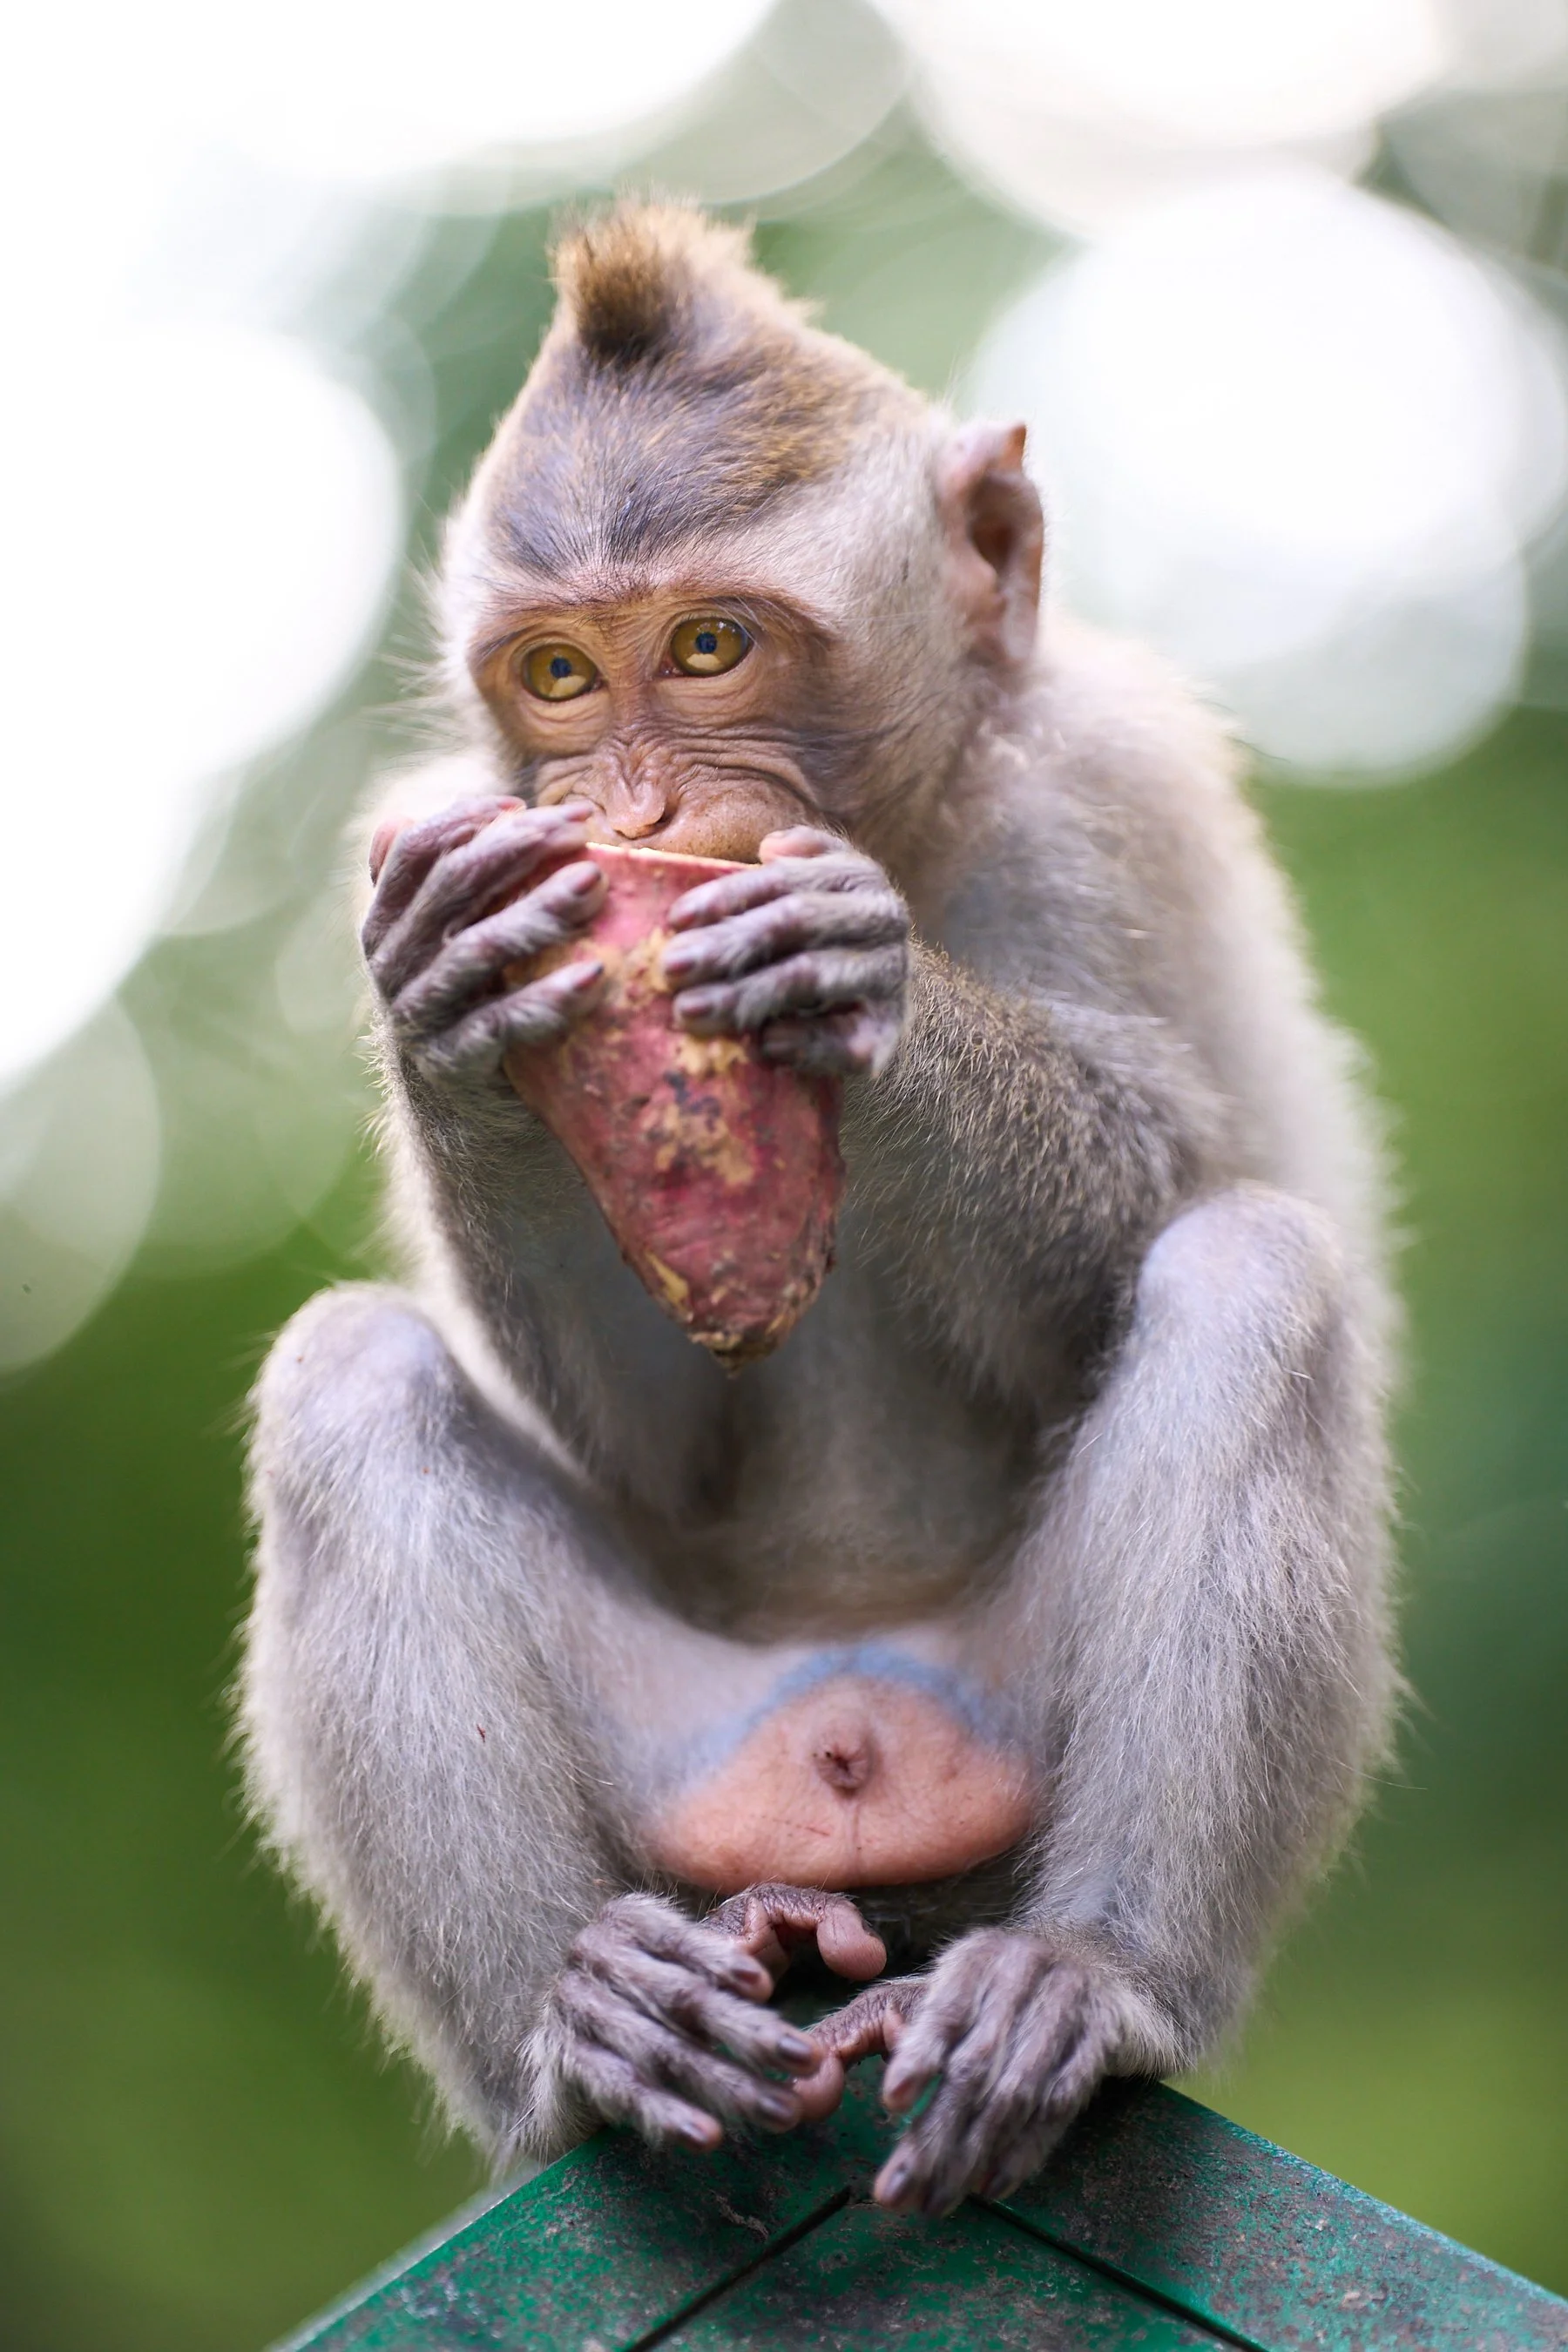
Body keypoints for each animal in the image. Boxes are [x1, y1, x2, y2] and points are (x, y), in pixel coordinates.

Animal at [241, 202, 1397, 2221]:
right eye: (559, 677)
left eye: (711, 645)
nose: (632, 806)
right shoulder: (441, 823)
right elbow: (657, 1435)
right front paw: (447, 1016)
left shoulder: (1111, 796)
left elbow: (1163, 1220)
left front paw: (878, 995)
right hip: (689, 1756)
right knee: (346, 1380)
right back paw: (591, 2029)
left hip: (1008, 1734)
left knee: (1253, 1275)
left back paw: (1086, 1978)